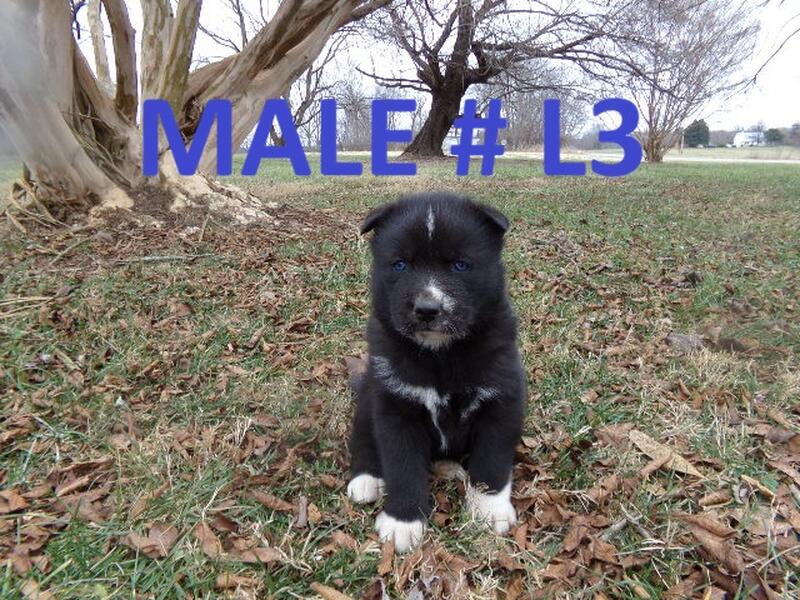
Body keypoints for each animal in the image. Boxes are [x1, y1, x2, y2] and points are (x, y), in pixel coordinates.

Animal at [347, 193, 526, 552]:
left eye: (460, 265)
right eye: (400, 265)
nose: (427, 309)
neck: (440, 354)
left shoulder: (502, 401)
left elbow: (492, 461)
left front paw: (489, 509)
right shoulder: (396, 407)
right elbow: (402, 467)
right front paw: (403, 521)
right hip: (369, 395)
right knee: (362, 438)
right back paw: (366, 478)